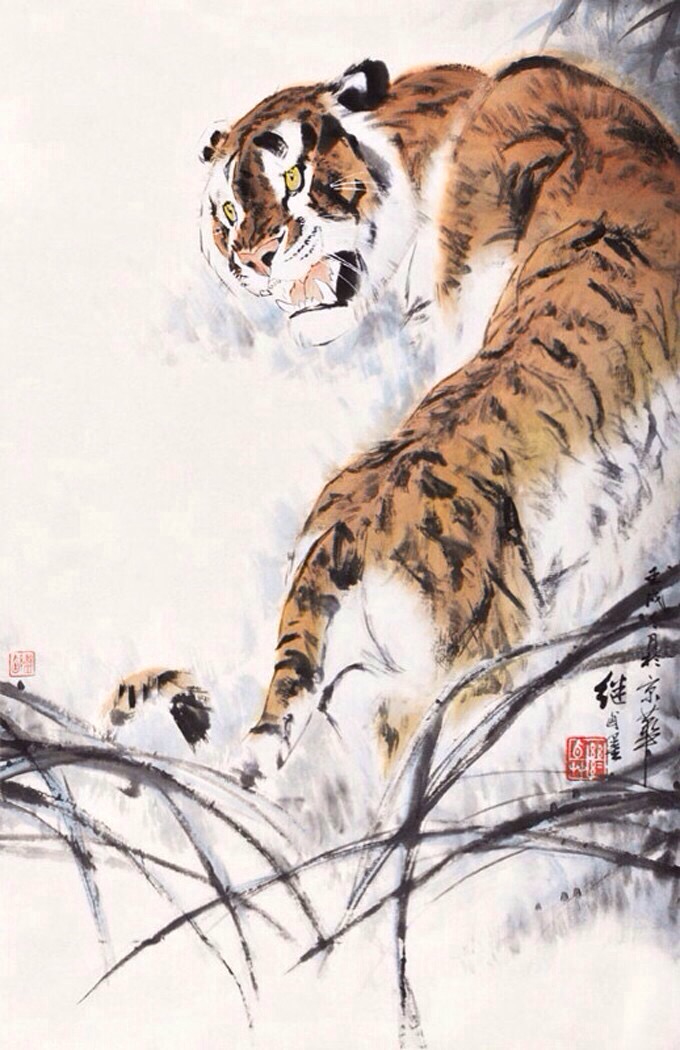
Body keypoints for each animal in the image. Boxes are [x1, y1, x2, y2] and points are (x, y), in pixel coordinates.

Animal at [105, 55, 679, 792]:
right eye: (228, 211)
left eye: (293, 179)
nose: (250, 262)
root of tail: (339, 539)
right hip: (453, 691)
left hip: (370, 700)